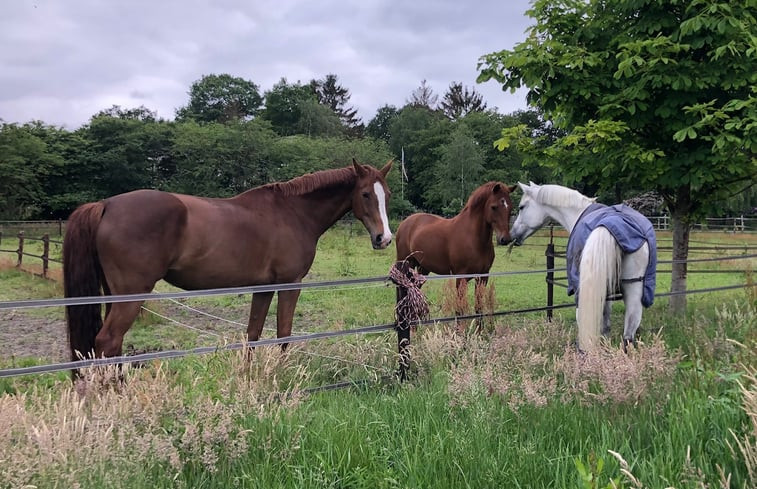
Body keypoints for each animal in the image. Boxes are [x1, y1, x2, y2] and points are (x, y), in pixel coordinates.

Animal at [62, 160, 392, 366]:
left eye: (386, 194)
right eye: (365, 194)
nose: (384, 238)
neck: (293, 213)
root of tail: (106, 205)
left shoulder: (263, 288)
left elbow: (253, 335)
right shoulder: (290, 284)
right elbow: (283, 334)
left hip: (113, 295)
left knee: (110, 345)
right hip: (131, 295)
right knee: (107, 341)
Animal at [396, 181, 512, 318]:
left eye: (511, 207)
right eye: (494, 207)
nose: (505, 239)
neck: (473, 238)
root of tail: (405, 223)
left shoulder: (482, 277)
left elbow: (479, 308)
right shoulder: (461, 278)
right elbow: (459, 310)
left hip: (422, 268)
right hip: (405, 263)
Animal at [510, 183, 652, 350]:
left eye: (521, 207)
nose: (512, 235)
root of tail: (615, 224)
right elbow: (606, 326)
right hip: (633, 287)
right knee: (628, 335)